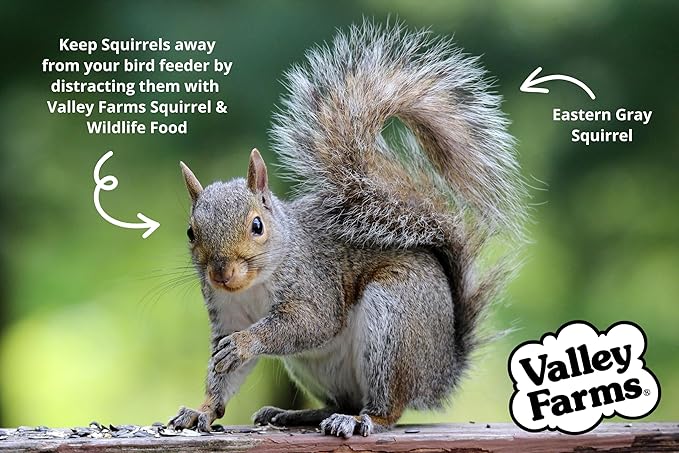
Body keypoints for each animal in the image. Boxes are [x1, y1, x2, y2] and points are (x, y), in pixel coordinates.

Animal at [168, 22, 526, 438]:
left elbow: (309, 324)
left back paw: (359, 420)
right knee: (342, 400)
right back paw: (296, 414)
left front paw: (245, 343)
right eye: (191, 232)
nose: (221, 273)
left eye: (257, 225)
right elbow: (223, 375)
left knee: (386, 406)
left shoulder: (314, 285)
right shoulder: (226, 314)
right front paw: (202, 411)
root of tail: (439, 372)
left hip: (394, 322)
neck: (254, 285)